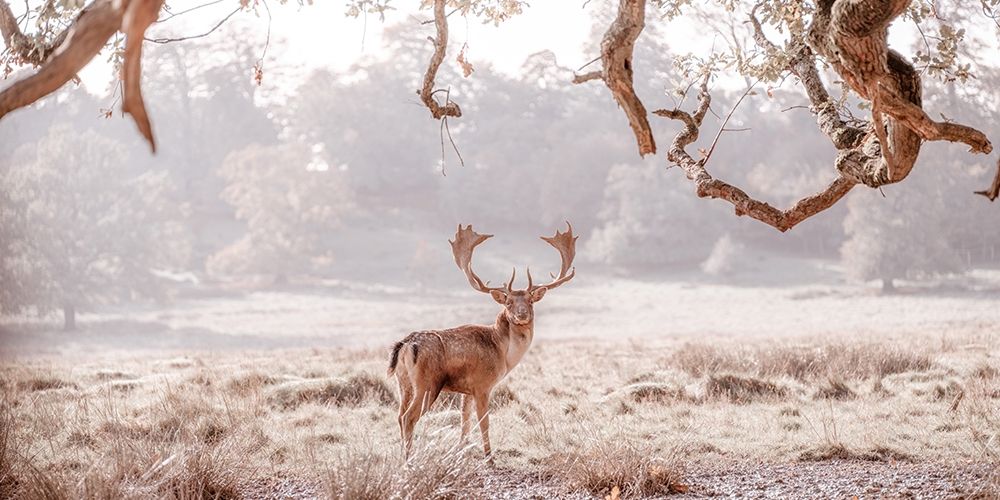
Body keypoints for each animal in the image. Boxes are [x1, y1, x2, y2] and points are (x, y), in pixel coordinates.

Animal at [387, 222, 577, 460]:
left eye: (531, 301)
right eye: (508, 302)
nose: (522, 314)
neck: (503, 354)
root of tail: (405, 346)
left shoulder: (466, 390)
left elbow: (465, 422)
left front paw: (460, 451)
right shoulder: (482, 384)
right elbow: (484, 422)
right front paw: (489, 457)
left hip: (403, 382)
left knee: (399, 415)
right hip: (427, 383)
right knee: (408, 417)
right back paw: (409, 459)